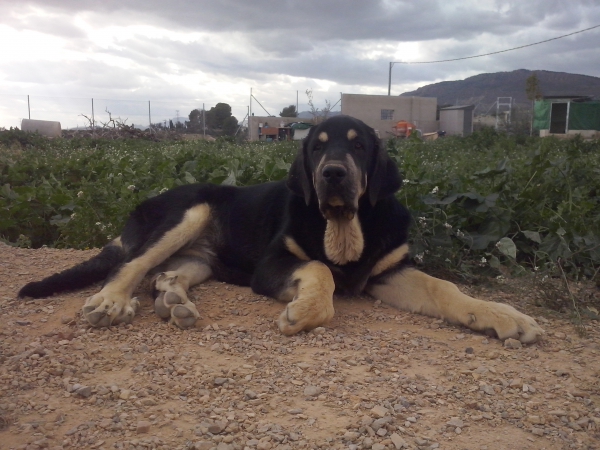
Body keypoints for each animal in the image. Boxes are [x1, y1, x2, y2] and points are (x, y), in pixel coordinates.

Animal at [17, 114, 544, 342]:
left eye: (358, 146)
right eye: (317, 147)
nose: (333, 174)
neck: (344, 225)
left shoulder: (389, 272)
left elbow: (444, 288)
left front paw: (501, 315)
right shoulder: (273, 263)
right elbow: (320, 270)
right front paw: (306, 309)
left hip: (203, 256)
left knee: (166, 273)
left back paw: (175, 302)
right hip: (190, 213)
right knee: (130, 265)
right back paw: (111, 302)